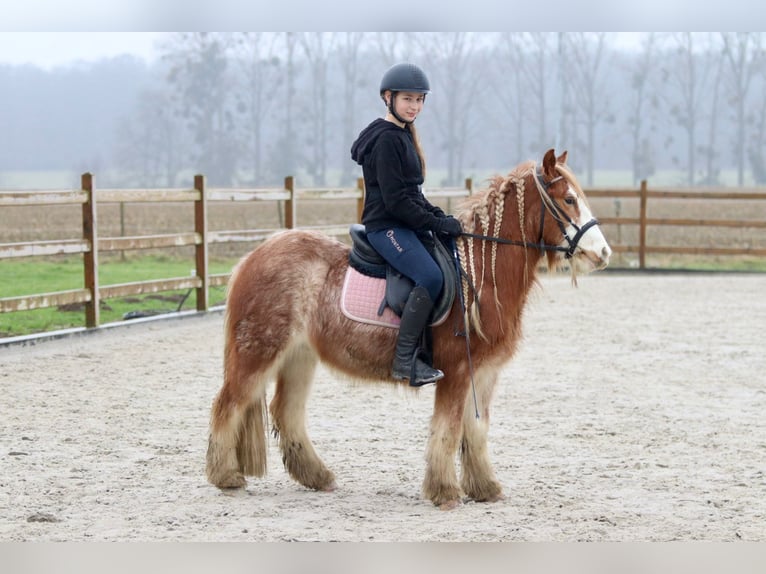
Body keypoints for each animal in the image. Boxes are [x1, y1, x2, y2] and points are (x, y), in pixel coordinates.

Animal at [204, 151, 612, 510]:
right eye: (569, 199)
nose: (604, 253)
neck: (480, 272)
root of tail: (253, 257)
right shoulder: (456, 371)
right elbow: (447, 430)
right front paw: (444, 492)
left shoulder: (483, 373)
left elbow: (475, 431)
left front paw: (485, 488)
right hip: (258, 352)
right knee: (228, 404)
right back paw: (226, 477)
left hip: (299, 357)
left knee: (286, 413)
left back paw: (317, 477)